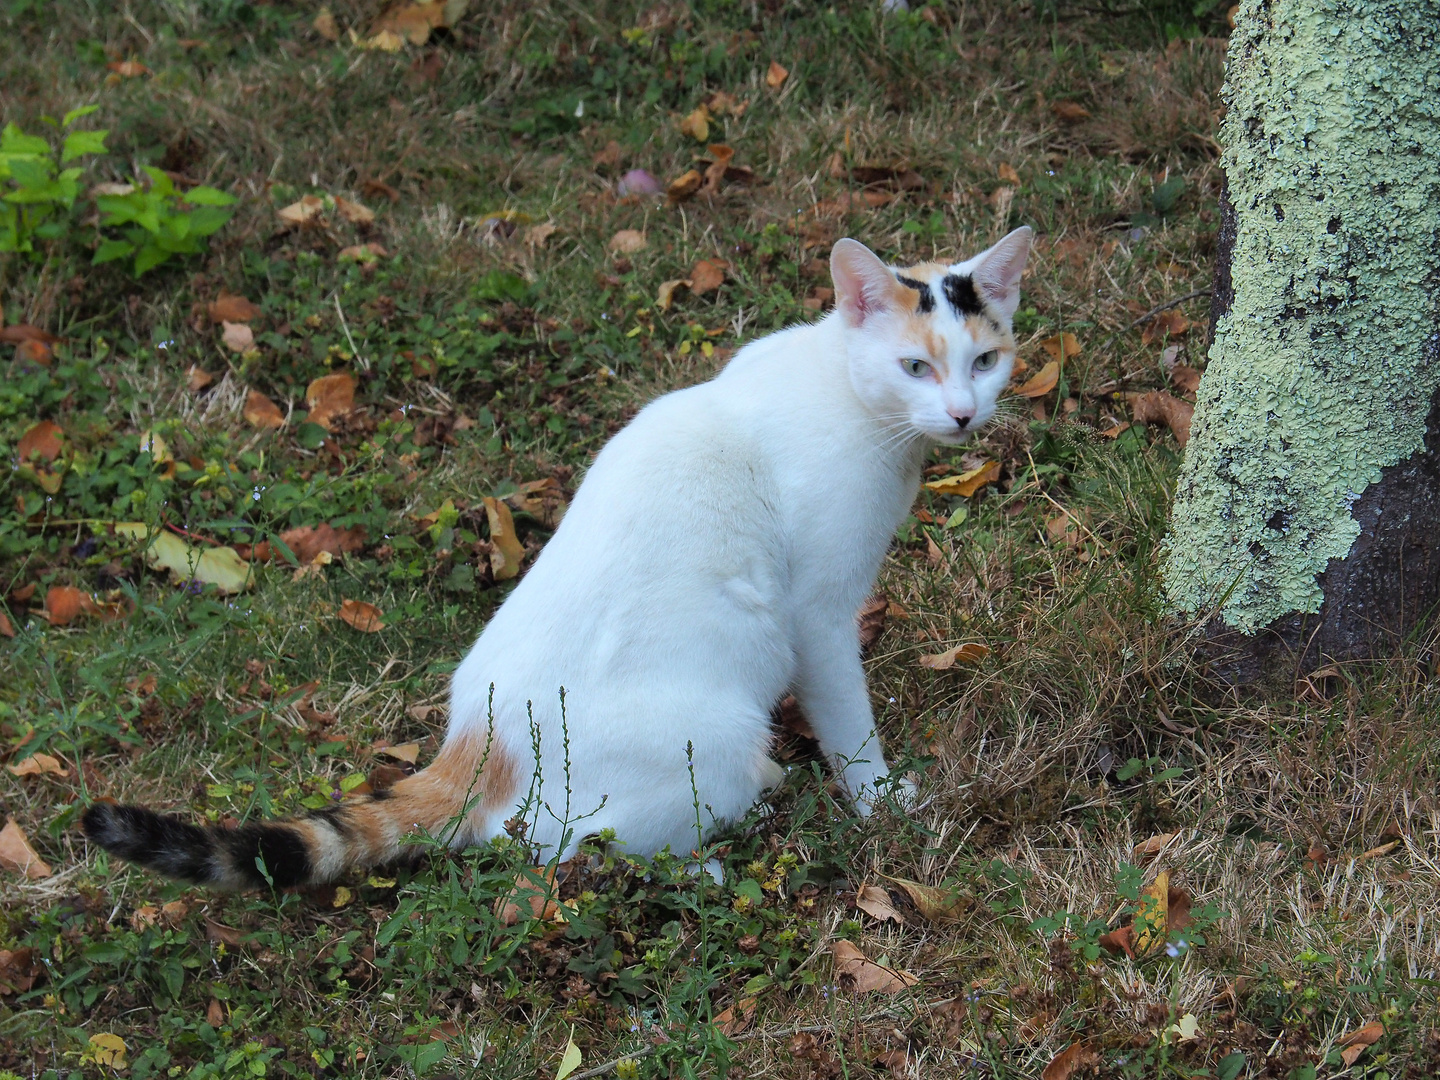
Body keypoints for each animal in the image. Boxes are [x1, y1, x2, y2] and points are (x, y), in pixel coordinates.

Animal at [84, 226, 1031, 887]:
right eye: (915, 366)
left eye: (985, 360)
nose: (962, 414)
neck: (852, 396)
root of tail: (474, 745)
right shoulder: (818, 614)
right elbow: (848, 721)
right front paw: (879, 801)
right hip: (714, 735)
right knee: (556, 848)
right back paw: (702, 860)